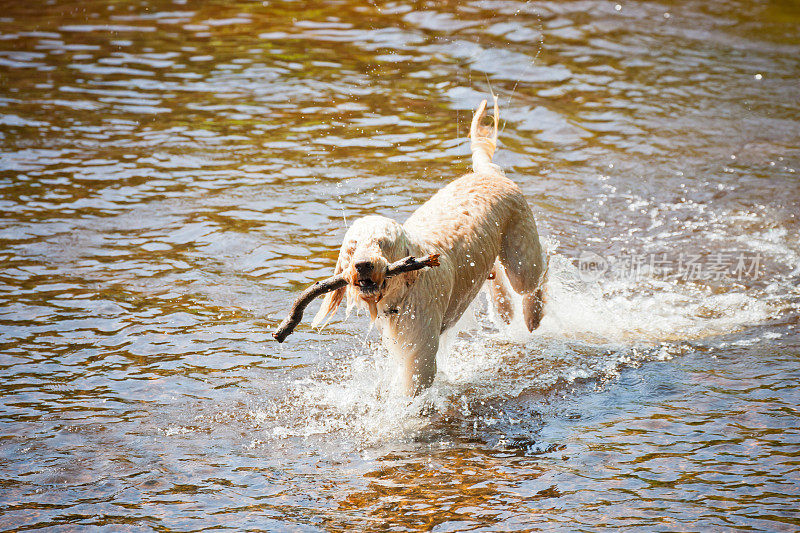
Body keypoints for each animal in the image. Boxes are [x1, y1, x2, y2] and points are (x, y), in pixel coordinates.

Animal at [310, 96, 548, 394]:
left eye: (383, 243)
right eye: (352, 248)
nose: (363, 265)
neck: (404, 288)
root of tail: (489, 173)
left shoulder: (420, 350)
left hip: (521, 260)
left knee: (541, 268)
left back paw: (533, 314)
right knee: (497, 276)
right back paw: (504, 307)